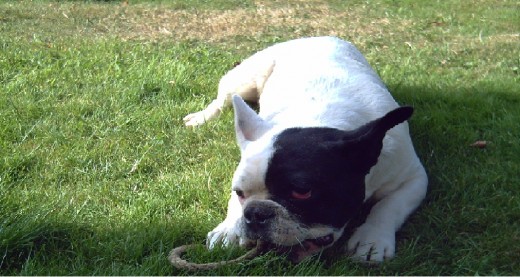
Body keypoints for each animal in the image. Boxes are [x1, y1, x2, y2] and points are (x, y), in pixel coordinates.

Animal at [185, 36, 428, 260]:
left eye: (302, 192)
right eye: (239, 193)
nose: (255, 213)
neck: (319, 119)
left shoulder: (413, 177)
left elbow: (389, 206)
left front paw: (372, 239)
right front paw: (230, 229)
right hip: (242, 79)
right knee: (222, 100)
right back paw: (201, 118)